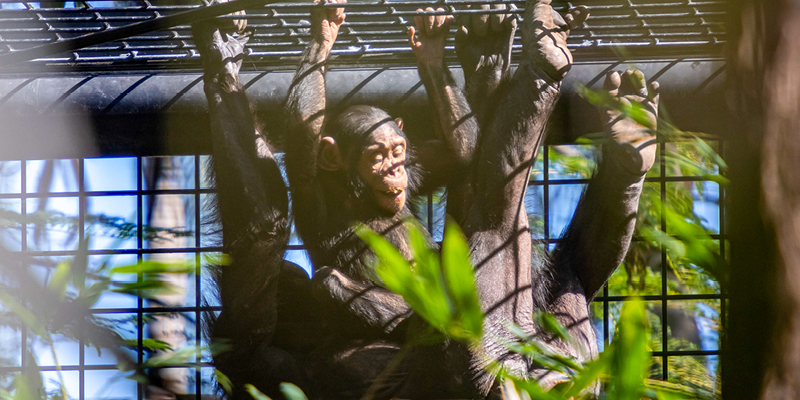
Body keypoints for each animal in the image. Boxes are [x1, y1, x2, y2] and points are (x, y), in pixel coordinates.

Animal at [192, 0, 656, 396]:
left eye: (397, 151)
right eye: (376, 156)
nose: (393, 170)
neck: (358, 194)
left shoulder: (420, 164)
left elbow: (464, 154)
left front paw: (442, 54)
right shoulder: (310, 175)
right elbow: (297, 141)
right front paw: (319, 37)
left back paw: (626, 141)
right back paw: (548, 60)